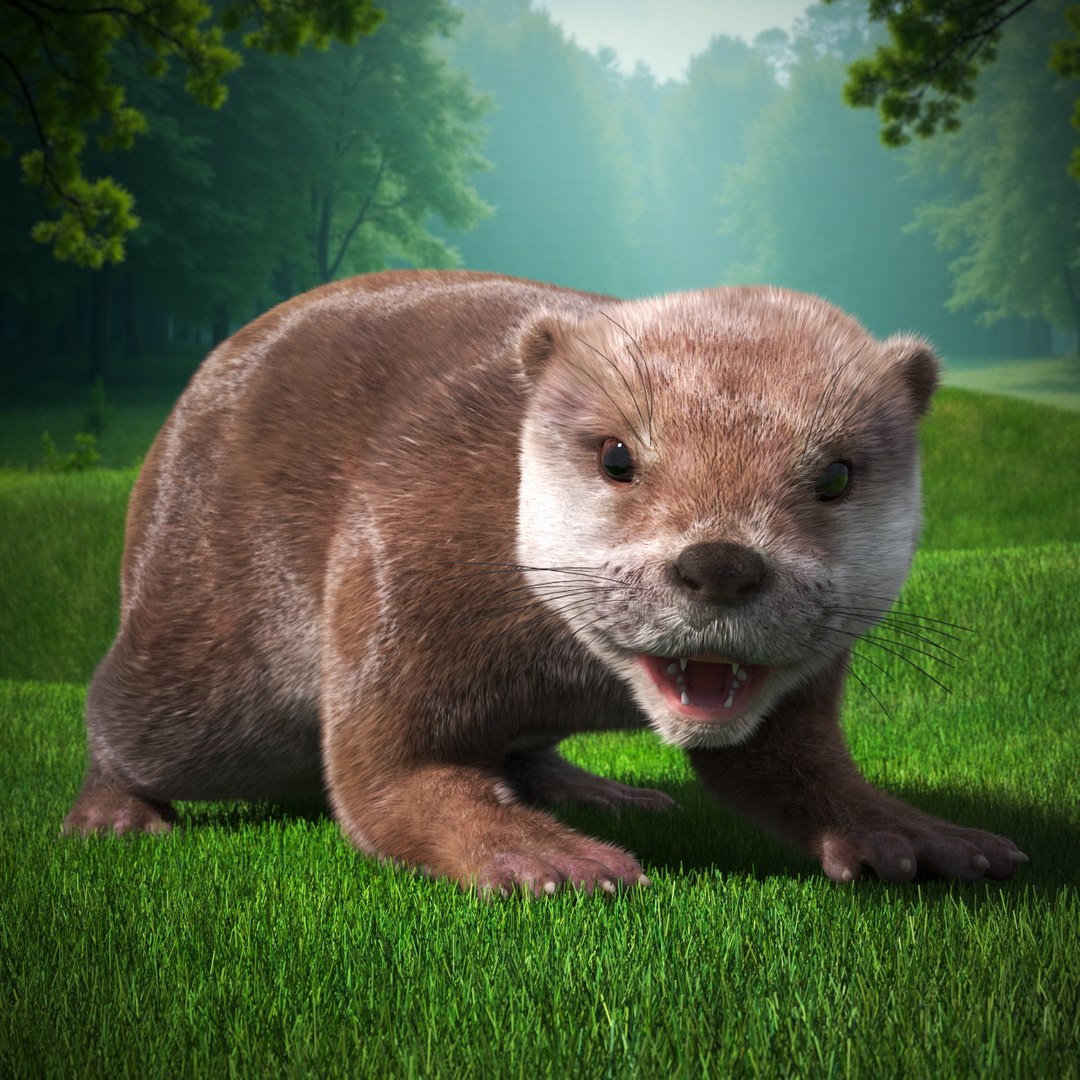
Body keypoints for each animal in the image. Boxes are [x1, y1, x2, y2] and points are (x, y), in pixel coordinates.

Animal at [63, 270, 1027, 893]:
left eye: (834, 475)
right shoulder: (401, 547)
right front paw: (543, 859)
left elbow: (790, 762)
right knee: (124, 717)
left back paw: (598, 789)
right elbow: (385, 776)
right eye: (617, 456)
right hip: (205, 649)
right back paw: (112, 812)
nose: (721, 563)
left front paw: (909, 832)